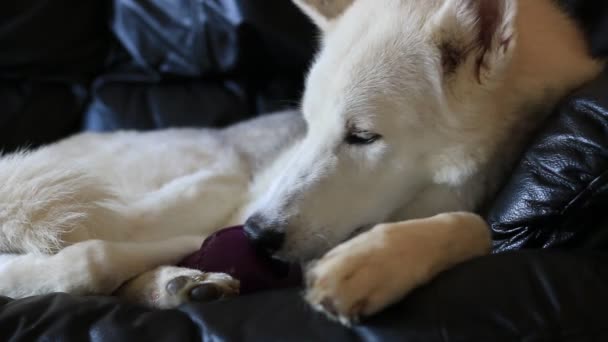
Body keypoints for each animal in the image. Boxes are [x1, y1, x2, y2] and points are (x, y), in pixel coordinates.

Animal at [0, 0, 604, 326]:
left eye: (362, 137)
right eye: (308, 124)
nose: (255, 234)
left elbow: (474, 226)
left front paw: (376, 262)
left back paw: (179, 283)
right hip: (198, 175)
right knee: (81, 255)